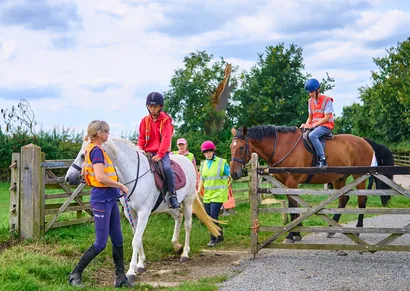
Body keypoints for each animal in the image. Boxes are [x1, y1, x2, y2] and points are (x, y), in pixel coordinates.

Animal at [231, 125, 374, 244]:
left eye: (241, 147)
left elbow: (293, 206)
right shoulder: (284, 183)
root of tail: (364, 141)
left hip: (359, 177)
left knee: (362, 200)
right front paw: (295, 233)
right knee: (343, 199)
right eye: (231, 147)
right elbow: (292, 206)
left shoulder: (292, 181)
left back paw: (358, 229)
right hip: (339, 178)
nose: (234, 174)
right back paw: (332, 229)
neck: (282, 146)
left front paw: (293, 234)